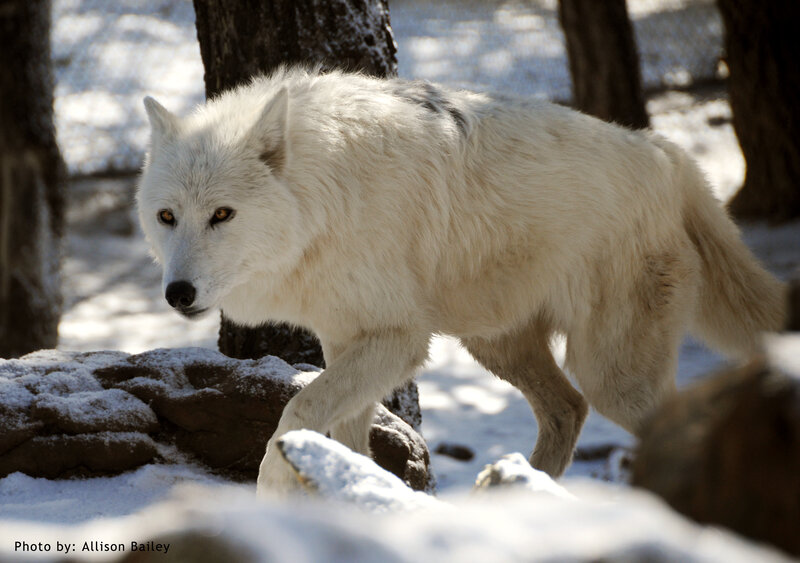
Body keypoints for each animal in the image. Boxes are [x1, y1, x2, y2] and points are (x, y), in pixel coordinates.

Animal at [137, 67, 785, 494]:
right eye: (167, 217)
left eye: (222, 214)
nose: (178, 294)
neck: (327, 197)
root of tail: (665, 156)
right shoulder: (348, 339)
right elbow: (343, 430)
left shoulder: (399, 339)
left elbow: (299, 410)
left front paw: (280, 485)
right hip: (497, 345)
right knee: (568, 409)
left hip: (613, 375)